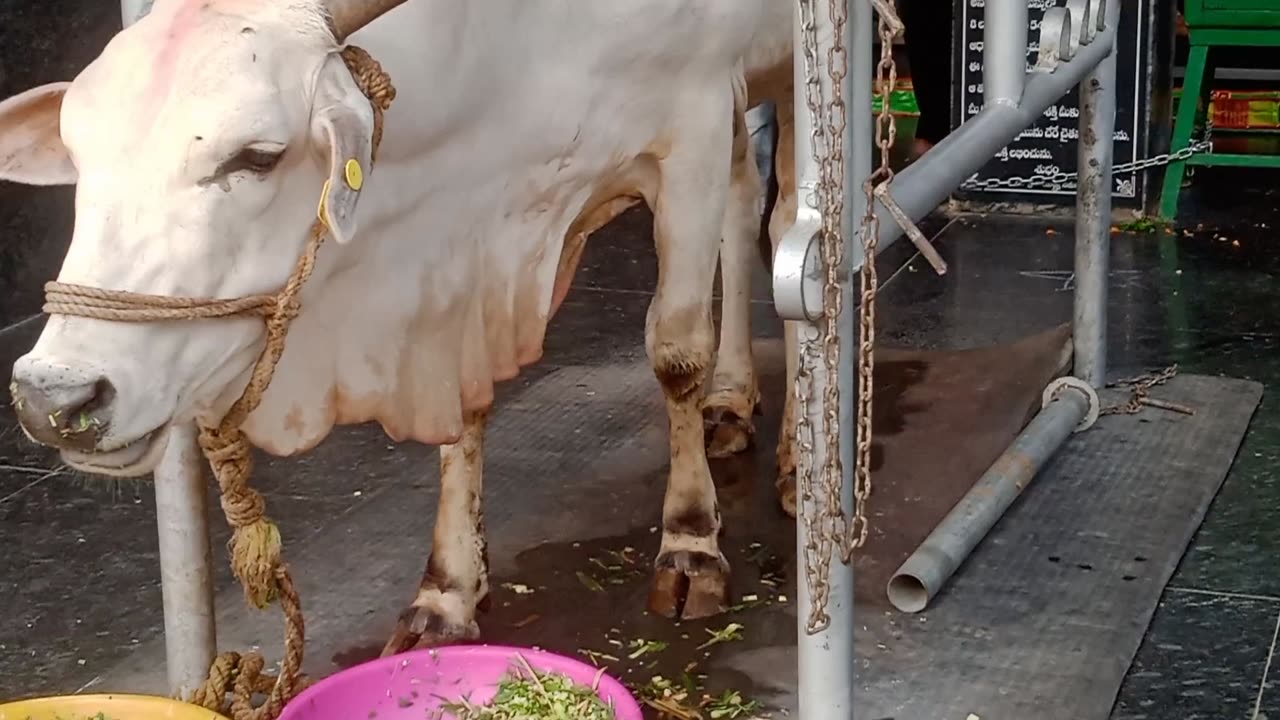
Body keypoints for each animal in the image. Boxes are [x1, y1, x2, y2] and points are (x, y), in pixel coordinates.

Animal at [0, 0, 798, 650]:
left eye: (256, 157)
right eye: (78, 157)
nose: (53, 398)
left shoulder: (691, 127)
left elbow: (677, 352)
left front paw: (691, 542)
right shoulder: (456, 276)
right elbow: (463, 414)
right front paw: (448, 590)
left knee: (787, 218)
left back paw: (791, 457)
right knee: (744, 203)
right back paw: (733, 400)